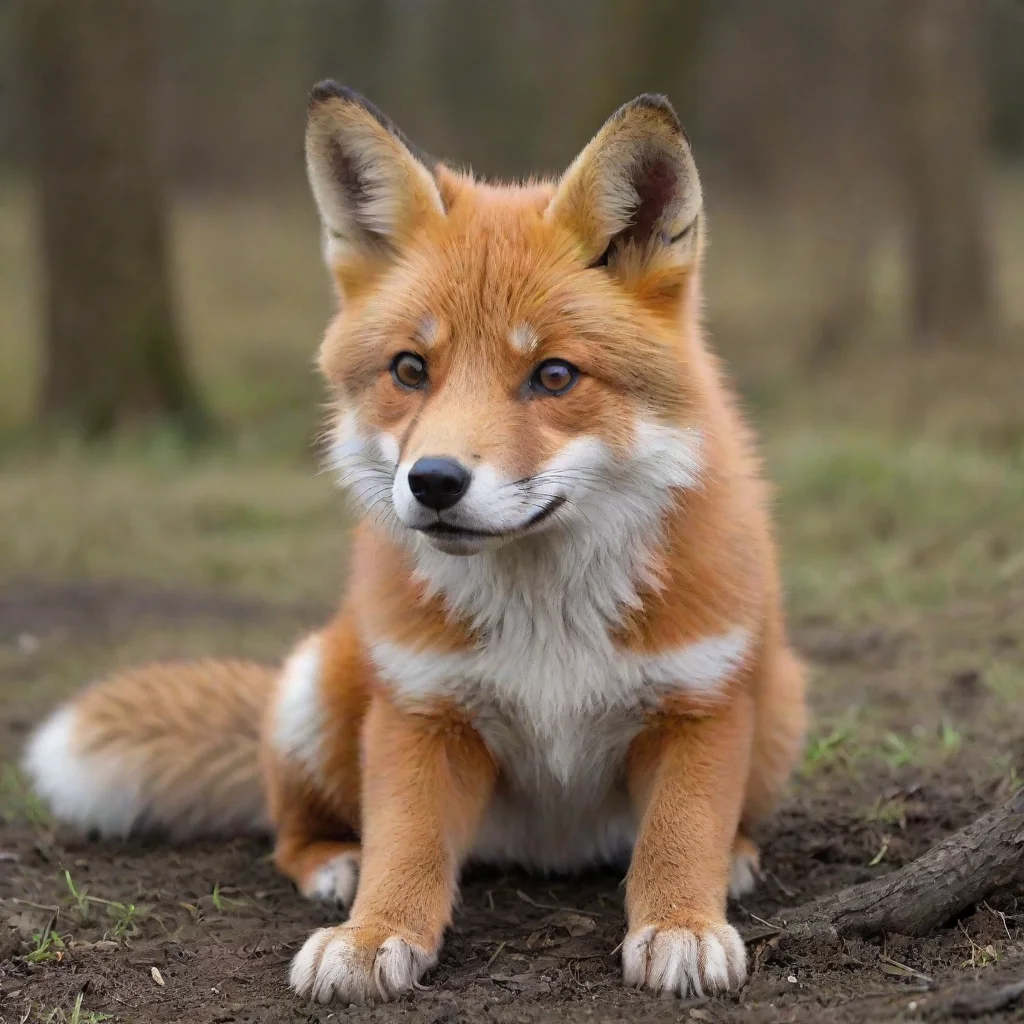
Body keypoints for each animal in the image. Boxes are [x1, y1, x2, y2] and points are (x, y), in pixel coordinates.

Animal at [22, 83, 807, 1004]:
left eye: (553, 376)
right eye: (410, 369)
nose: (433, 482)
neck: (548, 621)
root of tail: (549, 854)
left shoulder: (701, 703)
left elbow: (680, 837)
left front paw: (683, 923)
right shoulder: (421, 710)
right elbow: (406, 846)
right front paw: (372, 935)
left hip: (779, 705)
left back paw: (739, 858)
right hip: (318, 687)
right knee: (289, 827)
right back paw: (335, 864)